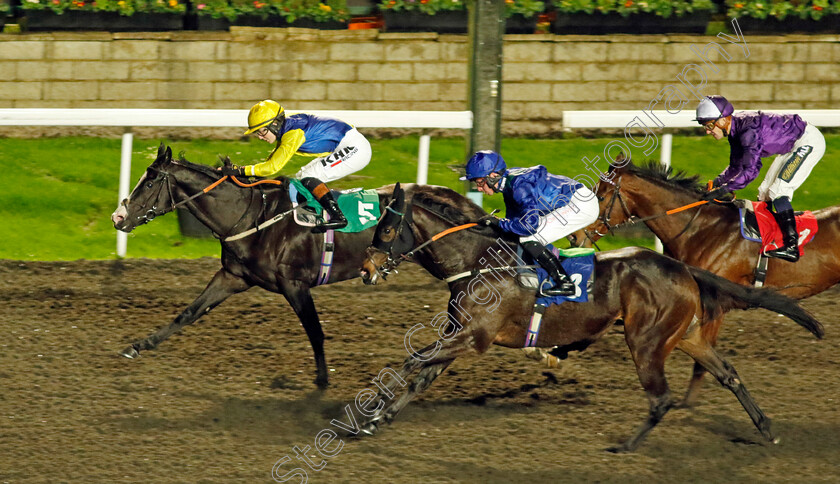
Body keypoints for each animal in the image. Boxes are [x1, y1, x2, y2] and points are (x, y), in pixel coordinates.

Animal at [111, 144, 398, 390]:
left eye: (149, 183)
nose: (118, 217)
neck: (253, 217)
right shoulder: (233, 276)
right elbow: (190, 312)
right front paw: (140, 345)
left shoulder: (294, 284)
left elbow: (315, 331)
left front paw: (322, 381)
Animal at [358, 183, 824, 452]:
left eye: (386, 229)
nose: (366, 269)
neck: (477, 262)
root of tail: (682, 267)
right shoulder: (460, 333)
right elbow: (420, 374)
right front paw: (377, 419)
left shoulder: (474, 336)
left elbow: (414, 361)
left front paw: (370, 414)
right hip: (687, 335)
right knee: (727, 373)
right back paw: (765, 429)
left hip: (646, 340)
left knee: (661, 397)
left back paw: (626, 446)